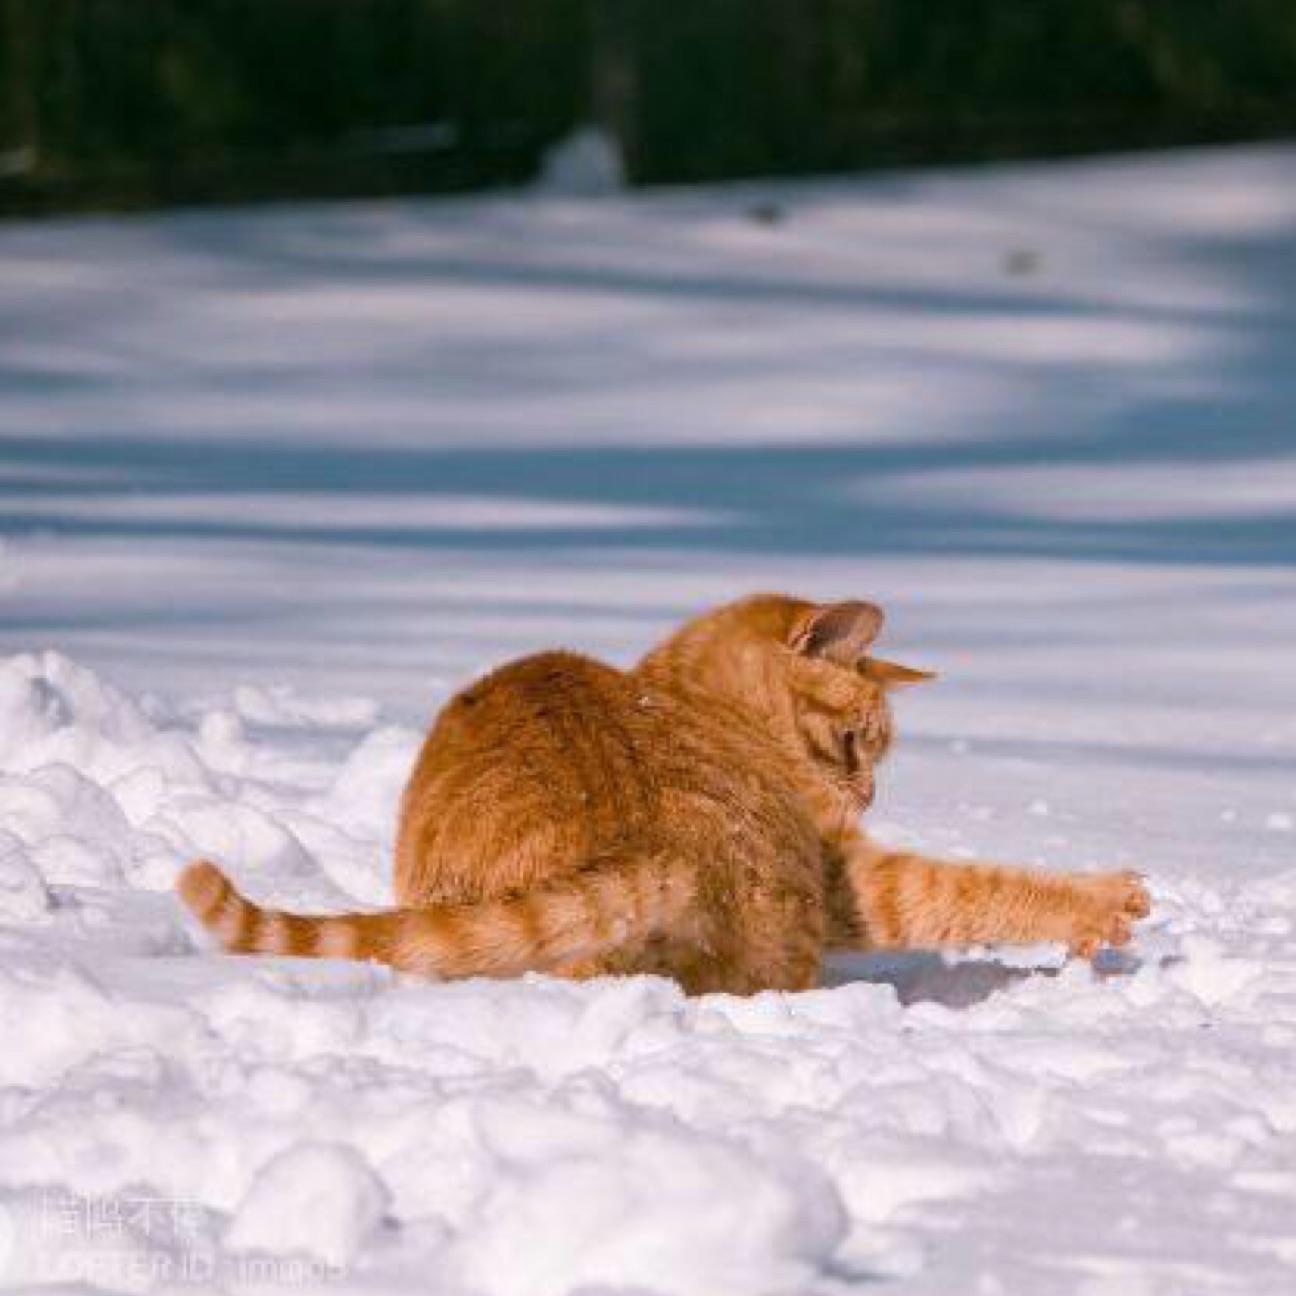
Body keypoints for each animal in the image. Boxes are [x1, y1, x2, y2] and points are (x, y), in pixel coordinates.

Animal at [177, 596, 1150, 990]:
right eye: (855, 743)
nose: (868, 796)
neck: (679, 690)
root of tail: (650, 838)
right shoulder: (849, 877)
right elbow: (975, 887)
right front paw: (1101, 901)